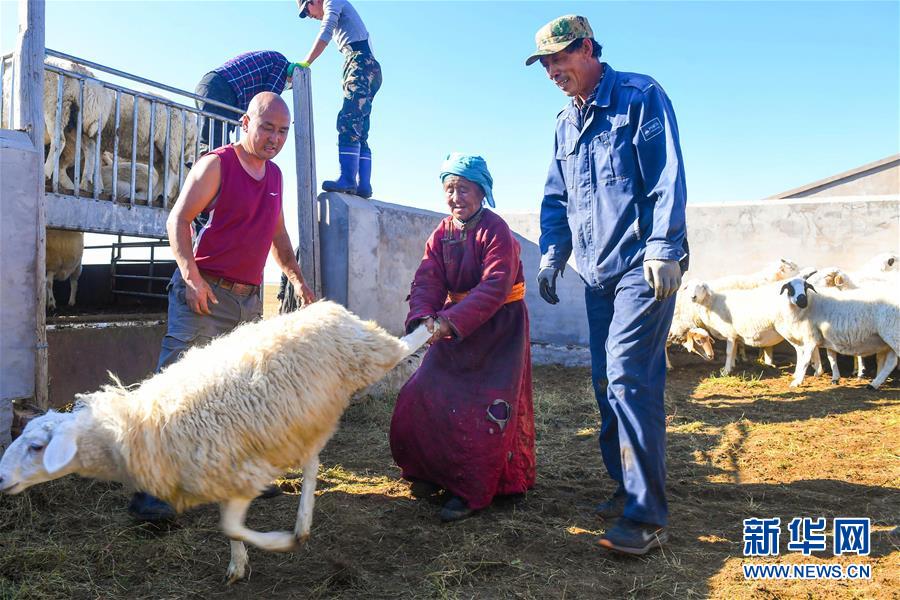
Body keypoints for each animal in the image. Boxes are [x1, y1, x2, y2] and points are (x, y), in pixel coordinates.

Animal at [0, 302, 432, 584]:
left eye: (37, 447)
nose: (1, 479)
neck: (138, 427)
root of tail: (323, 309)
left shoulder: (239, 474)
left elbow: (231, 526)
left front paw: (276, 544)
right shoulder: (224, 476)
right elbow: (229, 530)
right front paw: (240, 564)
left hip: (369, 354)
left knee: (404, 346)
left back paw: (429, 326)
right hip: (303, 421)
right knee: (311, 466)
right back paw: (304, 520)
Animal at [772, 278, 900, 390]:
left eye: (806, 287)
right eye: (790, 288)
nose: (802, 301)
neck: (810, 306)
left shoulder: (811, 338)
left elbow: (805, 361)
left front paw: (797, 382)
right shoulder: (828, 337)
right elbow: (831, 358)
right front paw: (835, 378)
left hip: (893, 334)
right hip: (888, 339)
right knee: (891, 362)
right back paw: (874, 384)